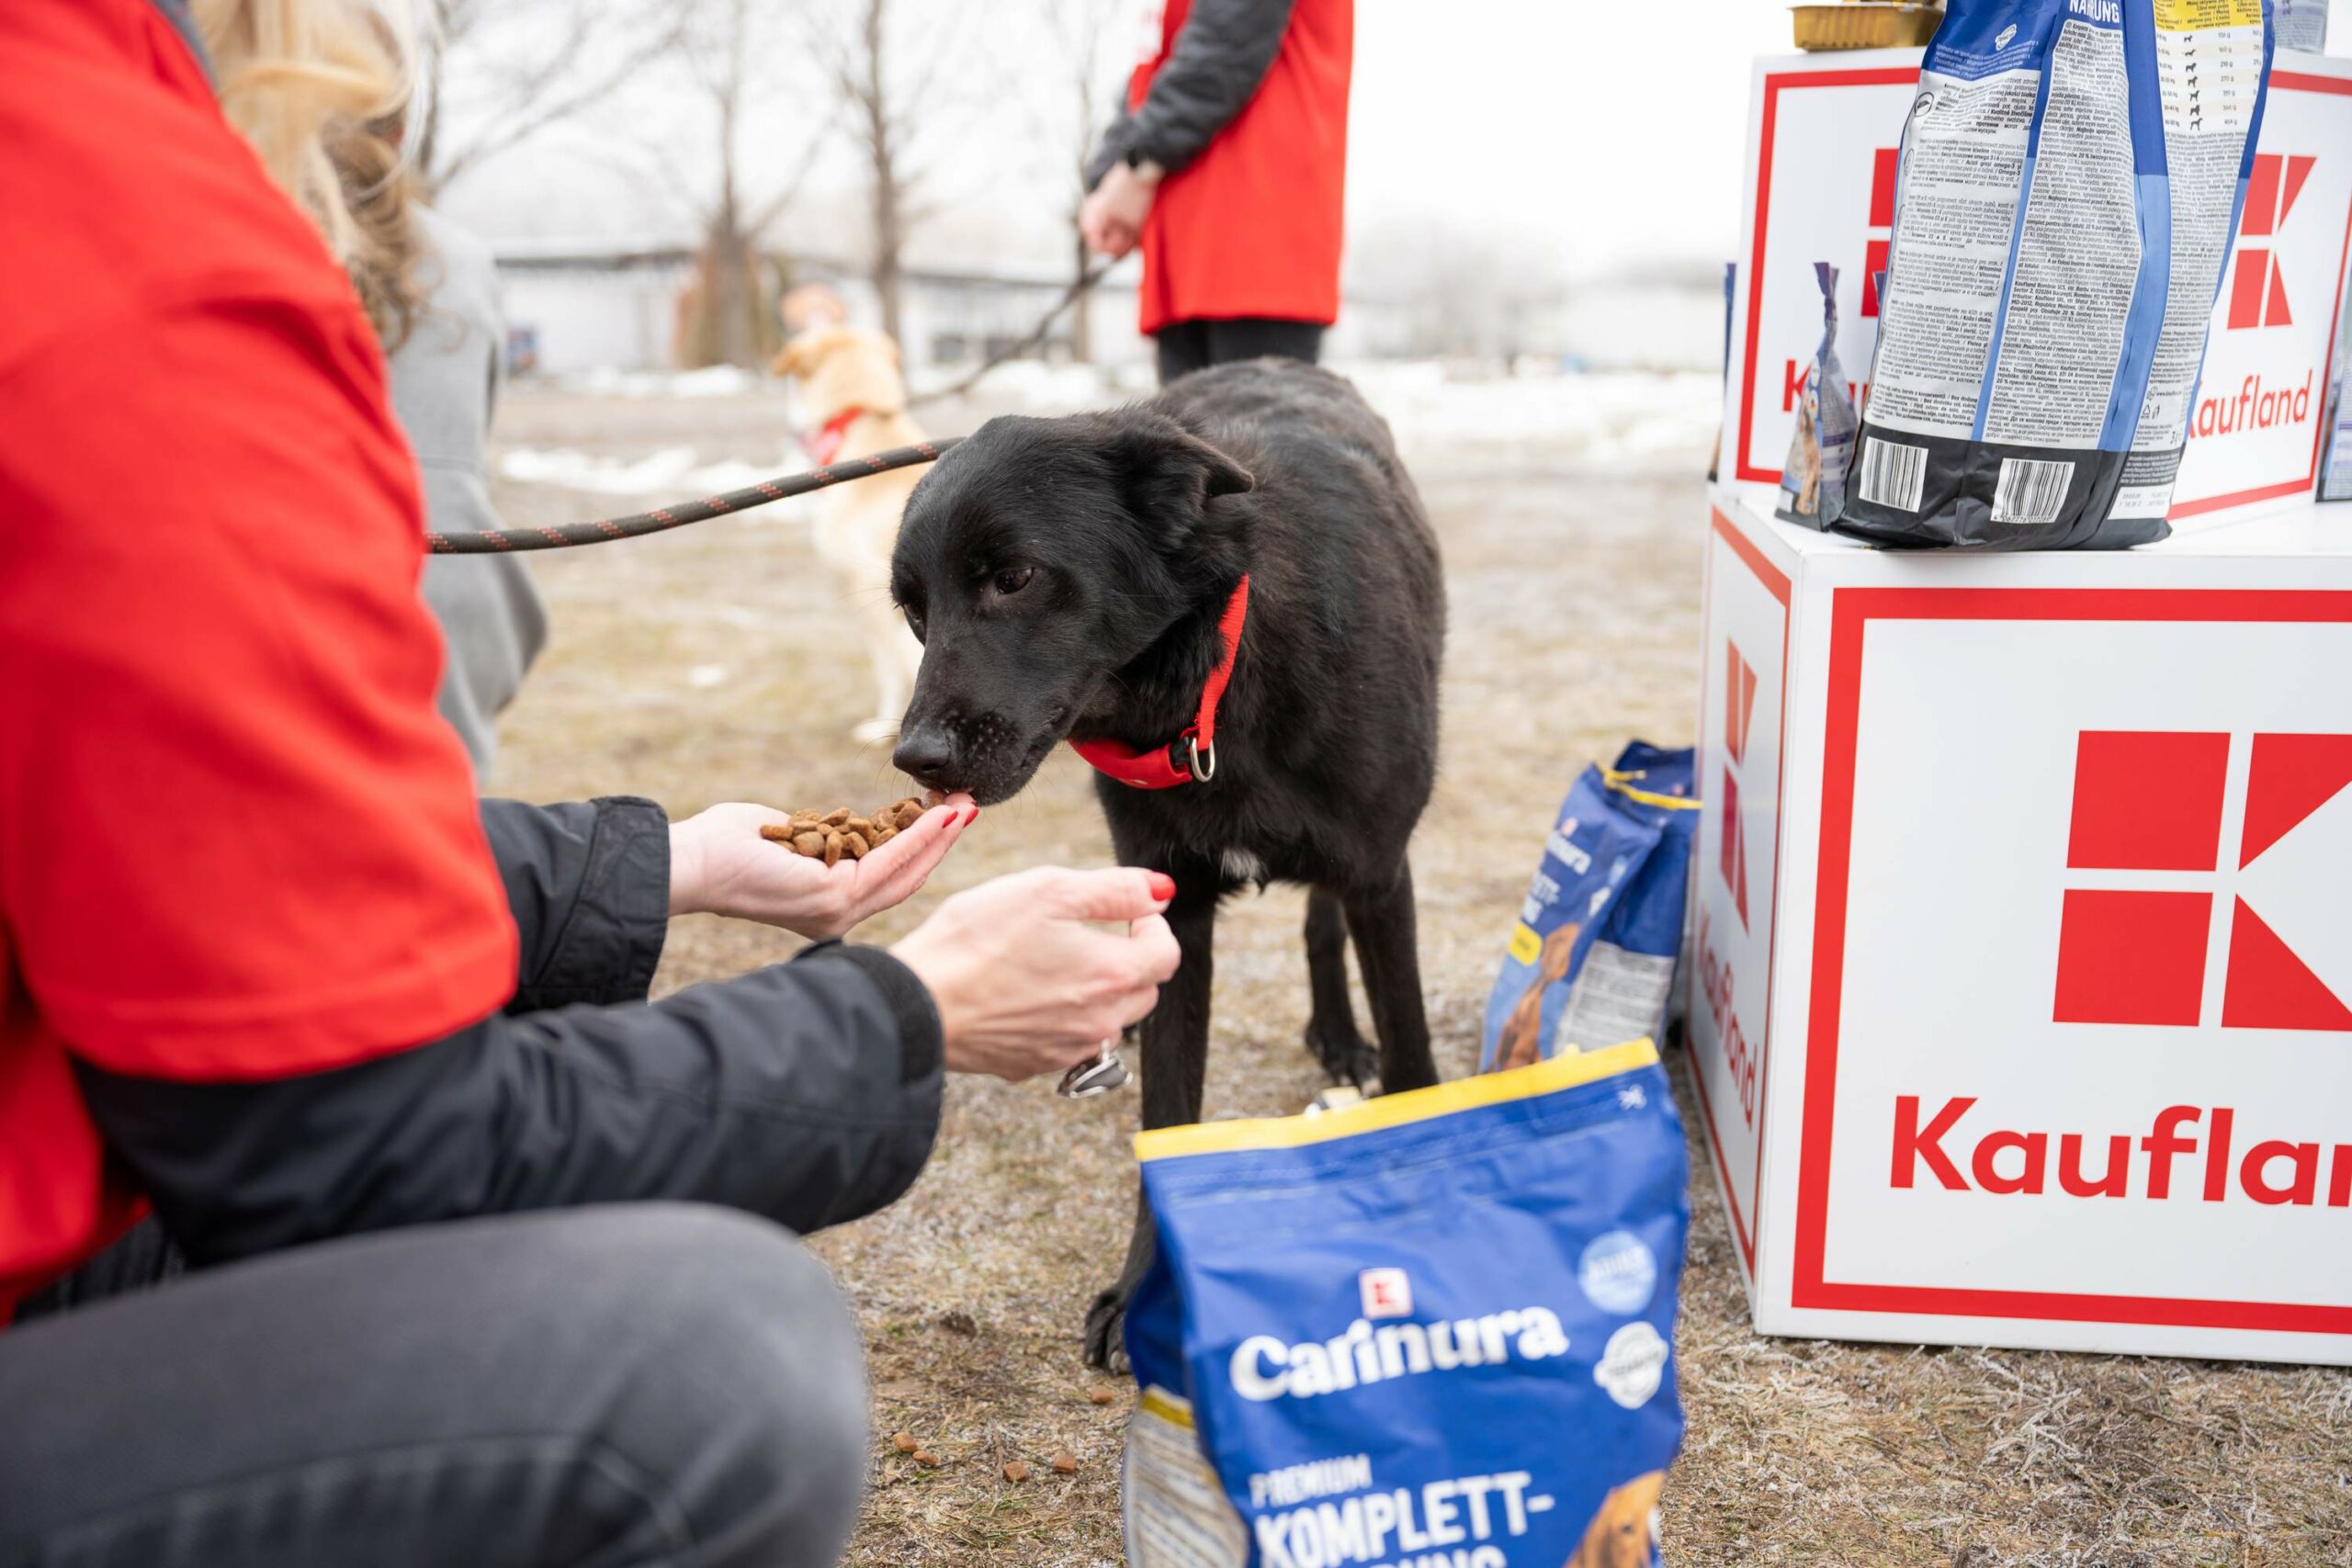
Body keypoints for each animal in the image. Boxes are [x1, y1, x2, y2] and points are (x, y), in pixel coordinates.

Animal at [888, 362, 1439, 1363]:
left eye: (1013, 578)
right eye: (915, 610)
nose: (917, 759)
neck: (1216, 682)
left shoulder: (1382, 876)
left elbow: (1416, 1056)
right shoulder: (1171, 905)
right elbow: (1168, 1110)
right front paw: (1145, 1290)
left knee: (1321, 919)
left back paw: (1340, 1036)